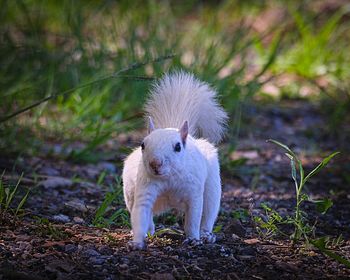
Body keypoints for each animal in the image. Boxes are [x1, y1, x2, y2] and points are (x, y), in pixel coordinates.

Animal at [122, 70, 227, 249]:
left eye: (178, 147)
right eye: (143, 145)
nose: (155, 163)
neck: (168, 178)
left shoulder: (193, 192)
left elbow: (193, 220)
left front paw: (193, 239)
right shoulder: (145, 189)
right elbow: (140, 214)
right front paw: (136, 241)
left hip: (212, 189)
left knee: (208, 214)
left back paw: (206, 235)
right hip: (129, 193)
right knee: (147, 217)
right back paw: (149, 231)